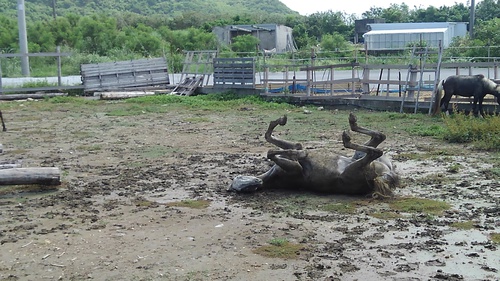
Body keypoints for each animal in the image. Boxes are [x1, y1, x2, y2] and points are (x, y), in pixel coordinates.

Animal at [229, 112, 398, 197]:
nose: (255, 182)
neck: (270, 177)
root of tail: (387, 176)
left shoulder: (293, 152)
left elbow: (272, 138)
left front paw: (280, 120)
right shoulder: (295, 169)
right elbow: (274, 152)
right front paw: (301, 154)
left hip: (358, 156)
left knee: (379, 138)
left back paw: (351, 123)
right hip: (357, 166)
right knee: (375, 151)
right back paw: (347, 136)